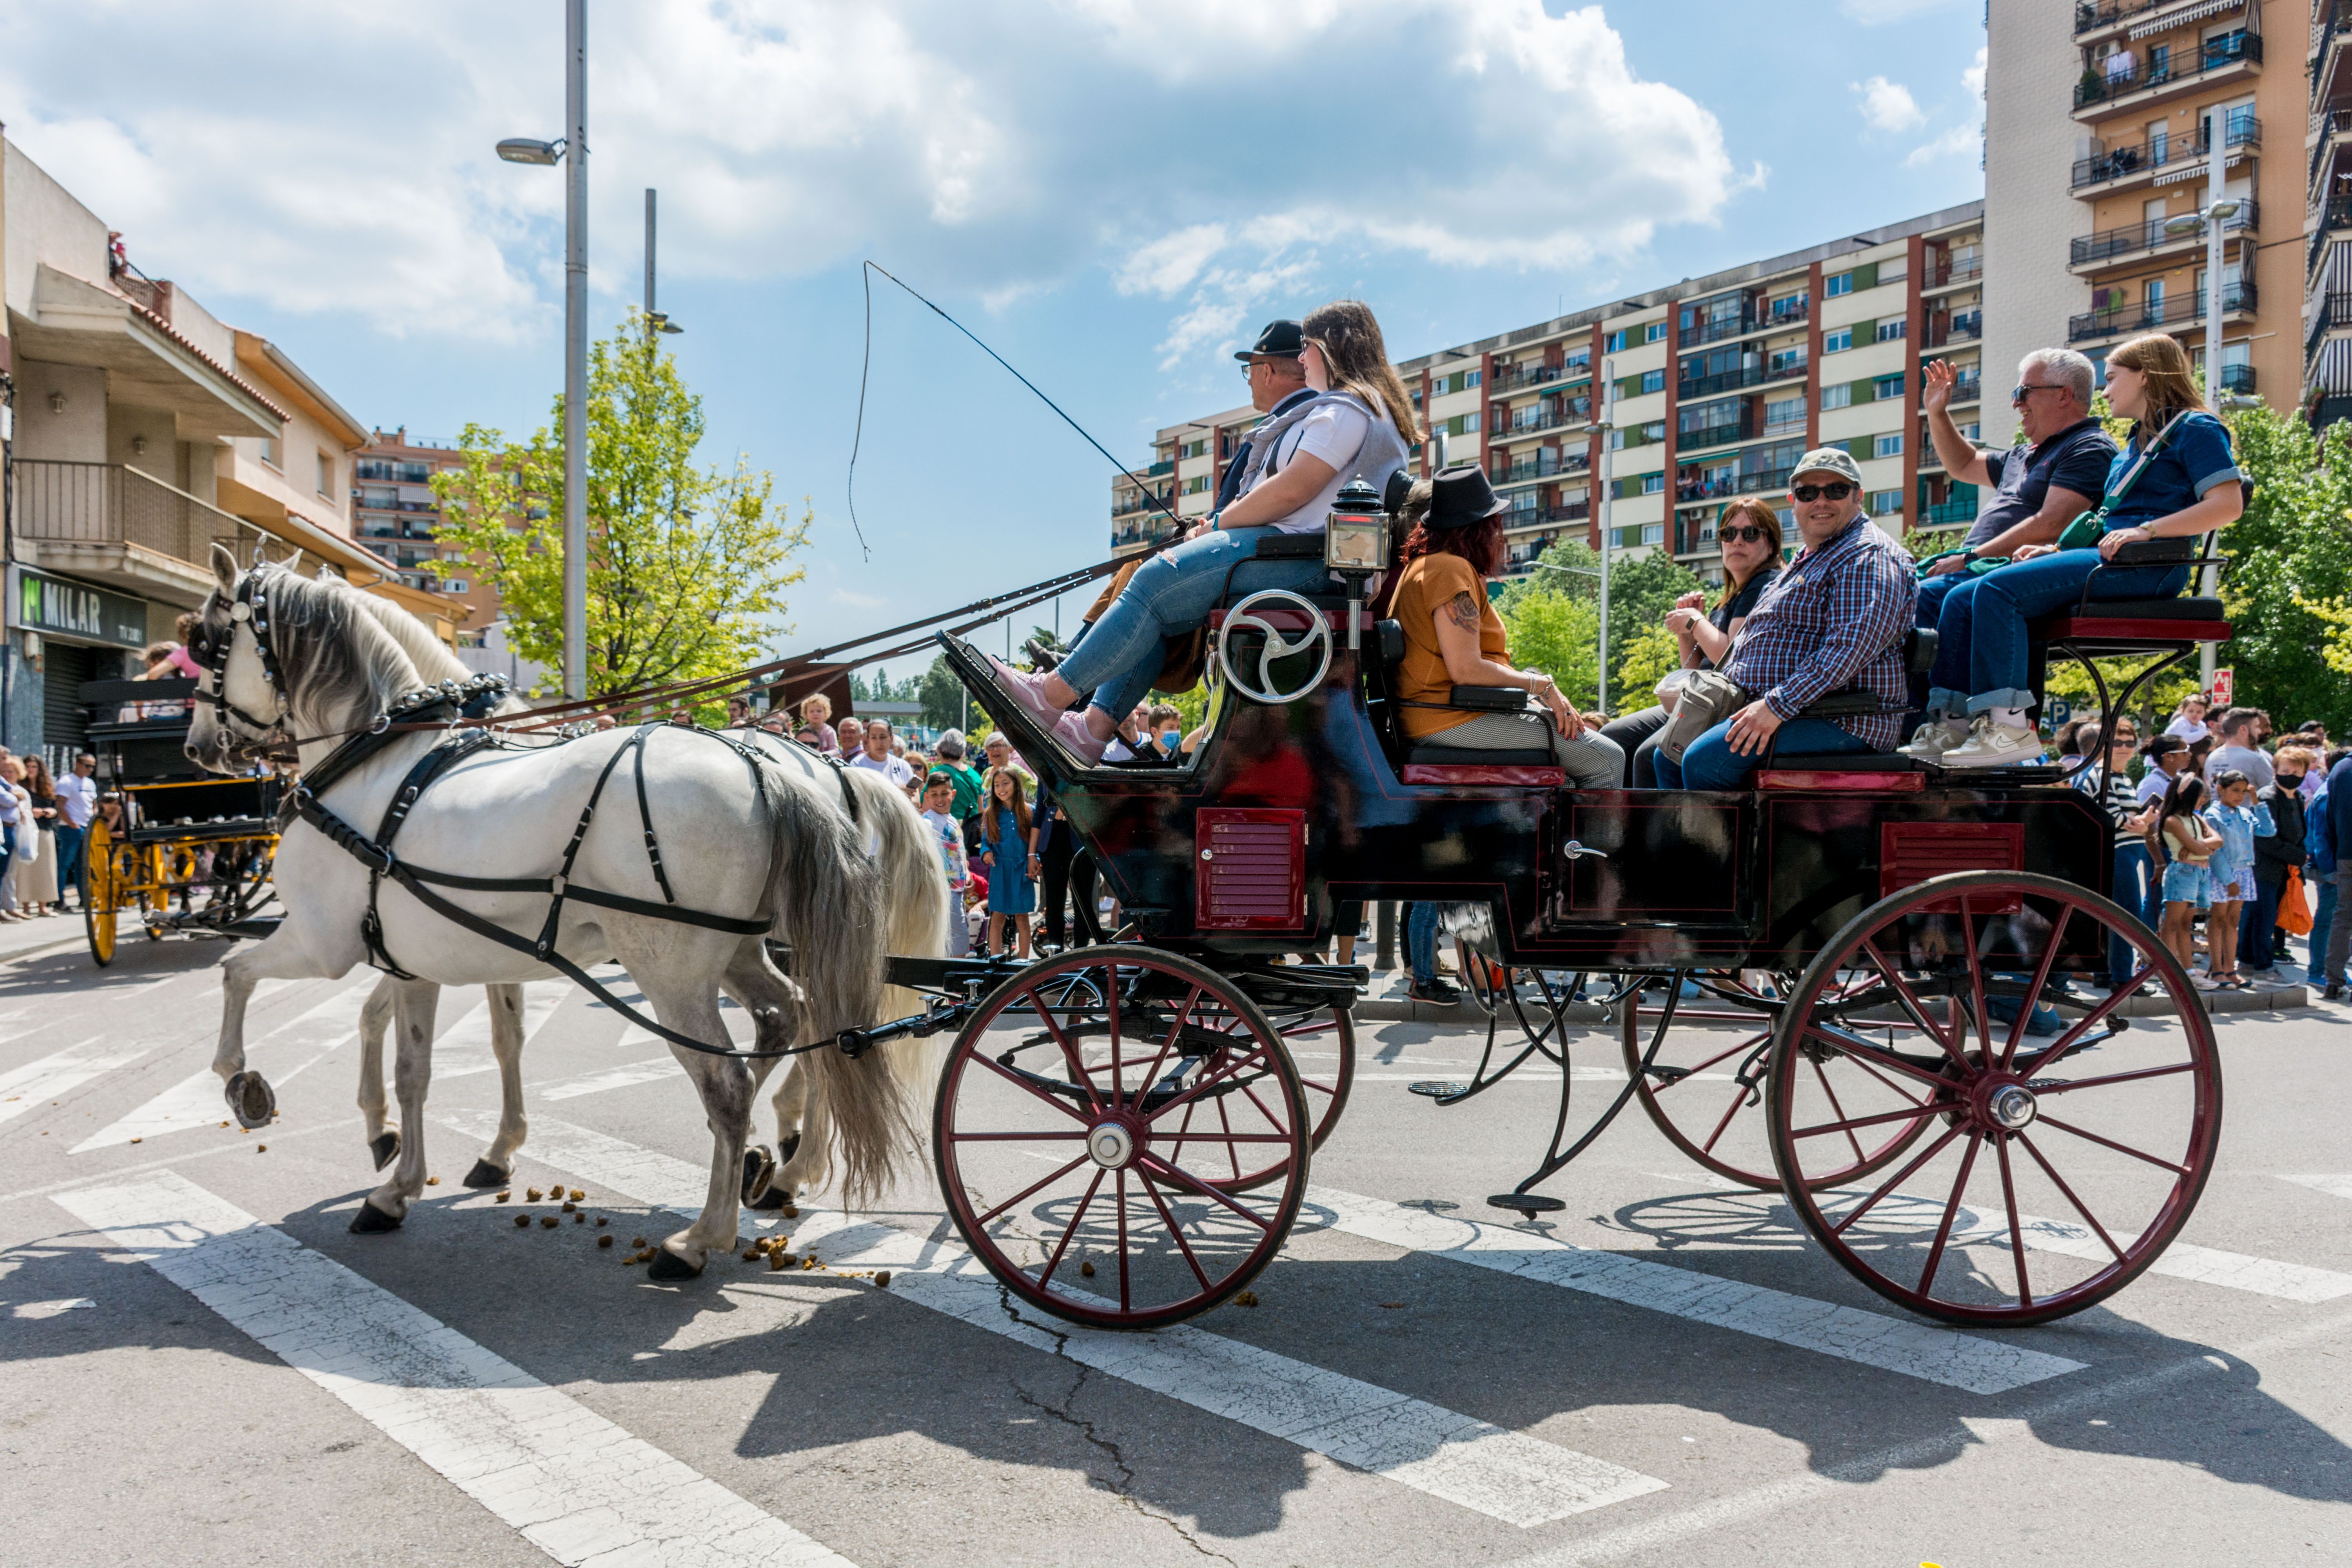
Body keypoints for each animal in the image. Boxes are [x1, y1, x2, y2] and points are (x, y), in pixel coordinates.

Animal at [191, 552, 946, 1279]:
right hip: (740, 950)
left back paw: (701, 1237)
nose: (197, 745)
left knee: (730, 1080)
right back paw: (771, 1167)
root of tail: (779, 771)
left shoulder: (324, 945)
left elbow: (238, 974)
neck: (383, 761)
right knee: (798, 1021)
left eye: (204, 641)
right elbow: (444, 1055)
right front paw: (420, 1168)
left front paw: (244, 1084)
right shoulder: (433, 960)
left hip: (669, 969)